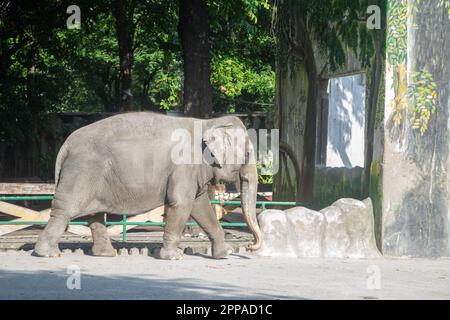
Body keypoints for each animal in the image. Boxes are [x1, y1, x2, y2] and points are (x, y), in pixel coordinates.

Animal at [33, 112, 262, 260]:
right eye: (248, 154)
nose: (250, 246)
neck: (208, 123)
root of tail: (66, 144)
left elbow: (200, 205)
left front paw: (225, 254)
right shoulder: (183, 167)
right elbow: (181, 203)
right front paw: (174, 257)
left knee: (94, 215)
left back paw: (106, 254)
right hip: (82, 173)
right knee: (64, 211)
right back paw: (49, 254)